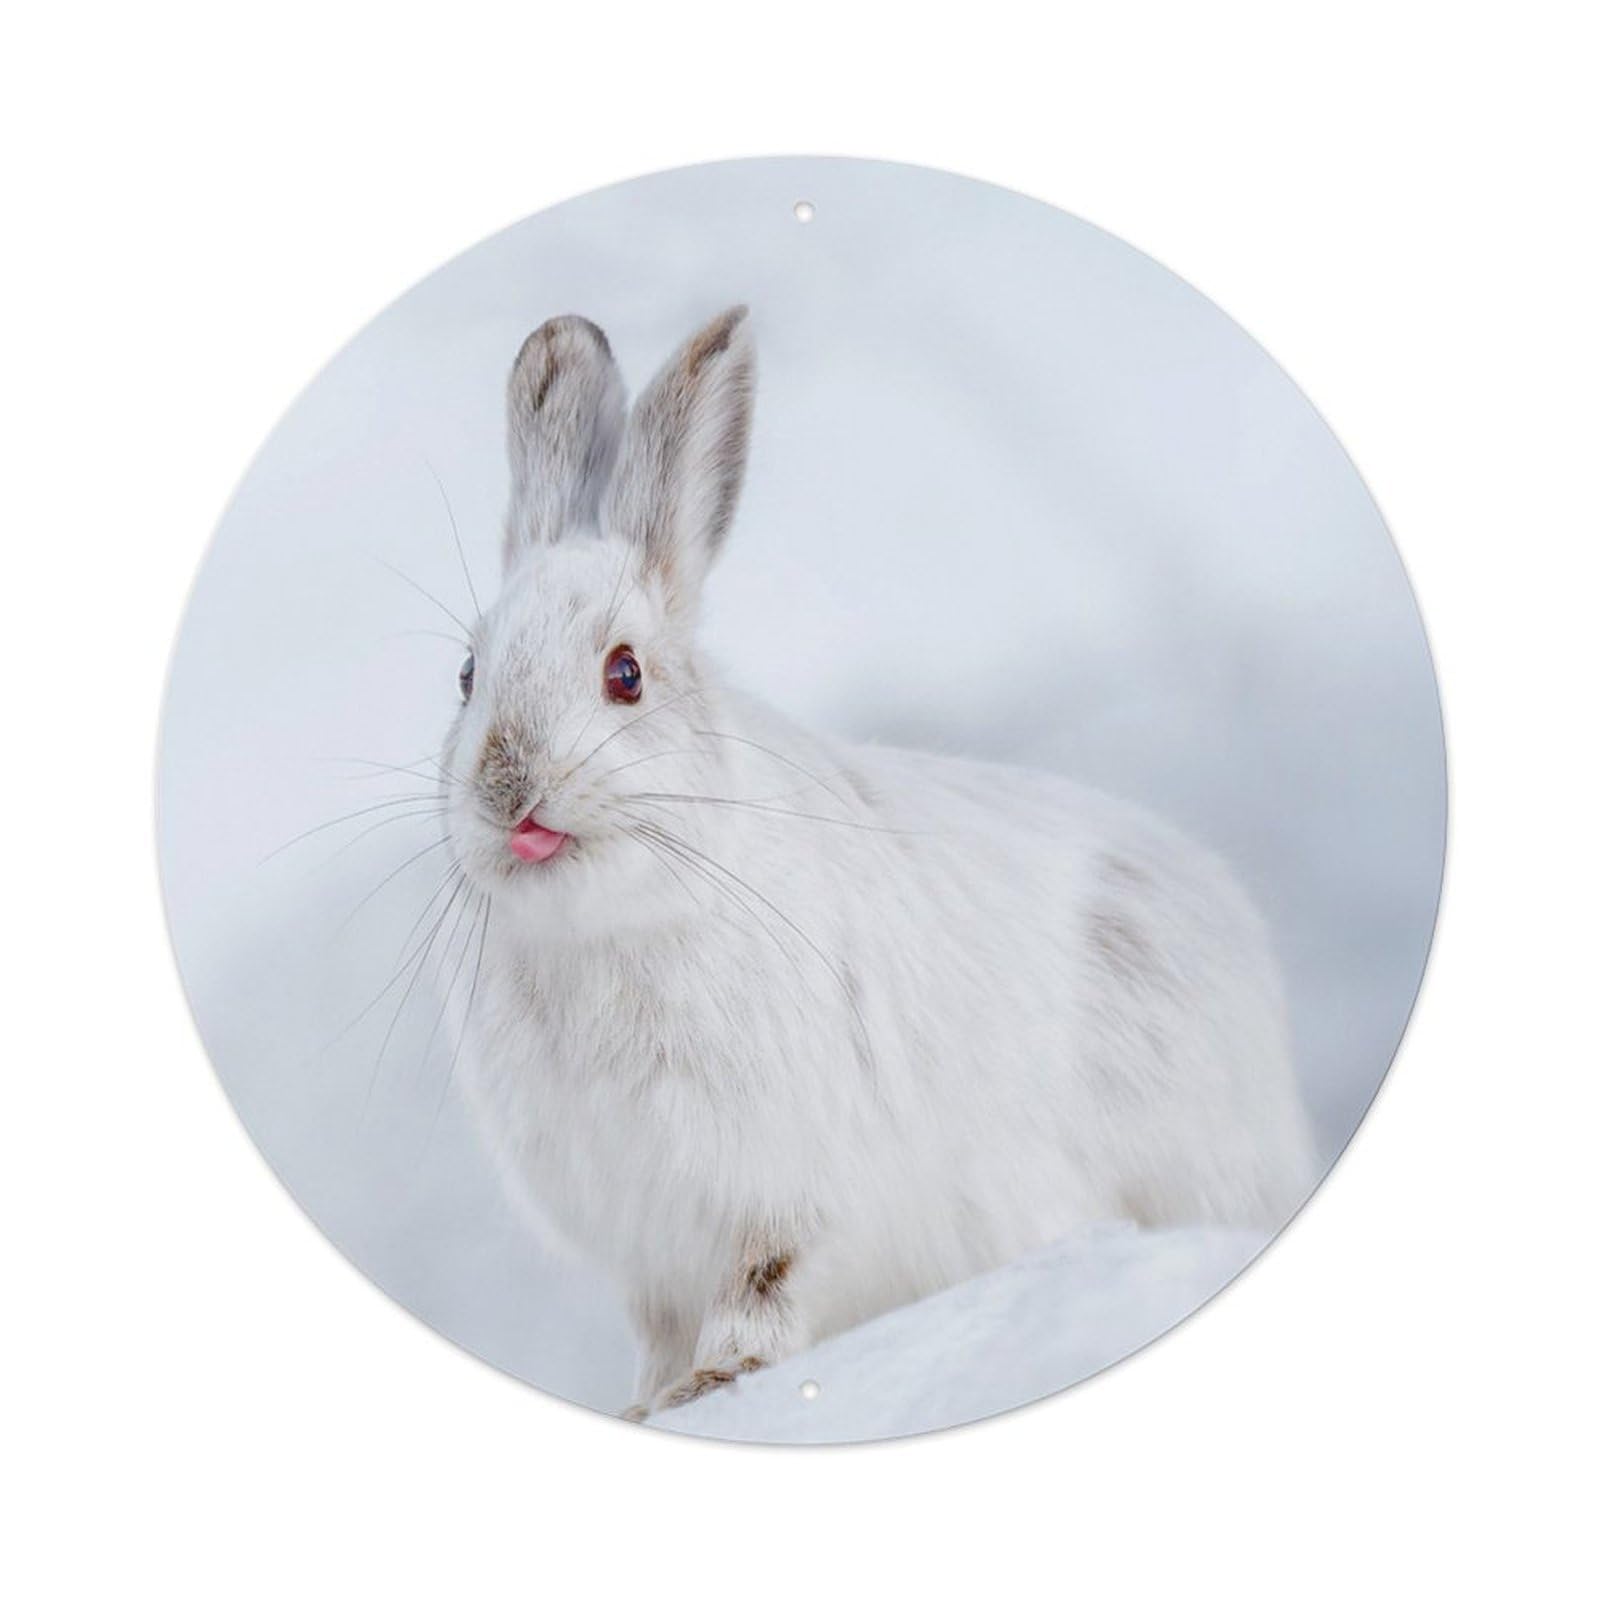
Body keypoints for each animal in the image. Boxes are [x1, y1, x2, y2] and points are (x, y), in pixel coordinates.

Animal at [439, 306, 1316, 1417]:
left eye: (625, 674)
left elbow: (763, 1287)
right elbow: (658, 1331)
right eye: (467, 676)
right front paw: (643, 1403)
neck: (605, 929)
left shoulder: (784, 1193)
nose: (506, 789)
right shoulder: (643, 1248)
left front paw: (714, 1384)